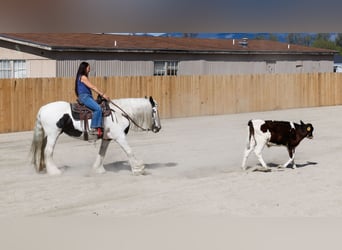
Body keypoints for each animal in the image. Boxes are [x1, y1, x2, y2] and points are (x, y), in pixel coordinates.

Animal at [29, 95, 162, 176]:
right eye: (154, 110)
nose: (158, 128)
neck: (119, 113)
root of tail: (42, 109)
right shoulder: (120, 137)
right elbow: (129, 151)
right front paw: (138, 169)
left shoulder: (107, 138)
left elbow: (102, 153)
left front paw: (97, 169)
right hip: (53, 134)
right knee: (48, 151)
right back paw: (54, 171)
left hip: (47, 135)